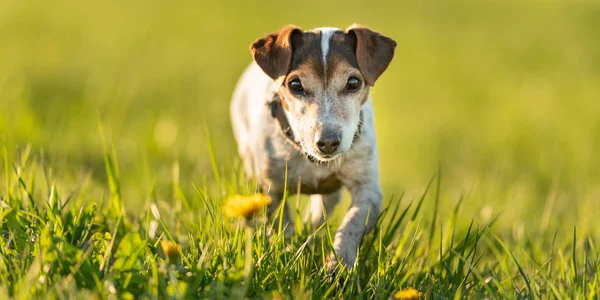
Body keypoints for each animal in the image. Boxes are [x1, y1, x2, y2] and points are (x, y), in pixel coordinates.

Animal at [232, 22, 396, 268]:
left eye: (353, 83)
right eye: (295, 84)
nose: (327, 142)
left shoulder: (368, 191)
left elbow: (351, 225)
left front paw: (339, 264)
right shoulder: (271, 189)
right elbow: (282, 226)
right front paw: (288, 252)